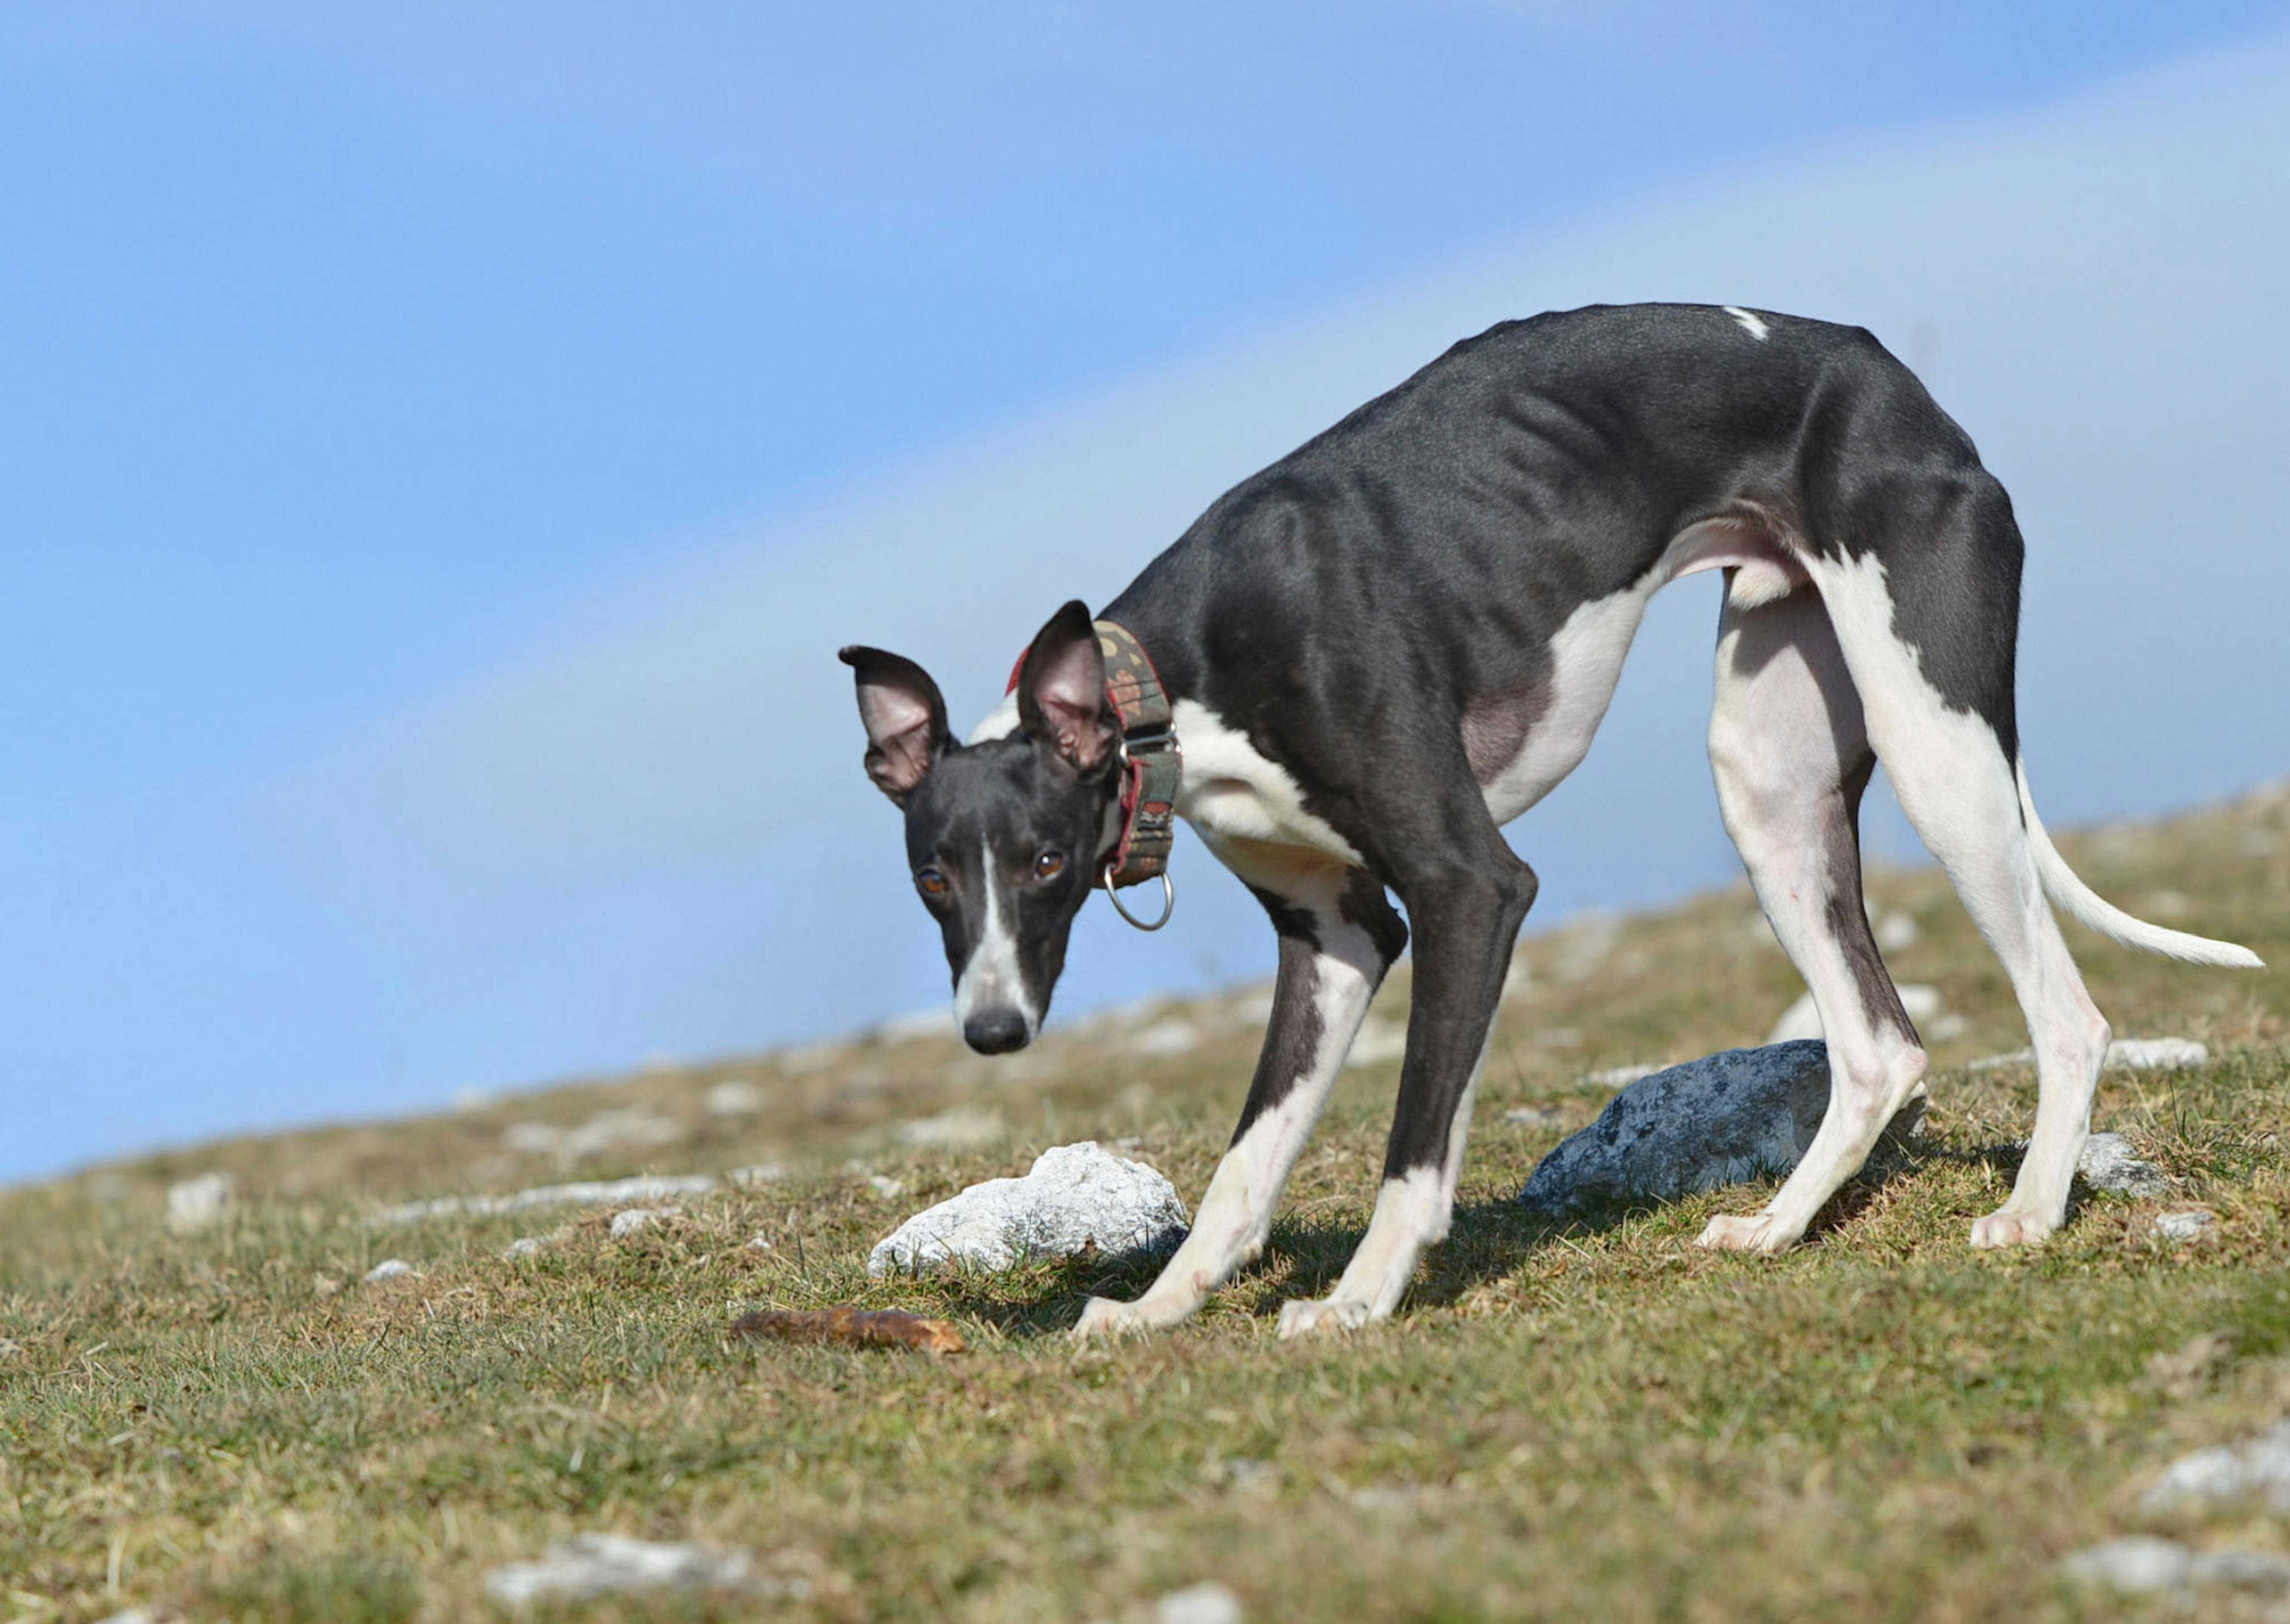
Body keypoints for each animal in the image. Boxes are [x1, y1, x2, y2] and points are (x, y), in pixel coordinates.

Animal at [838, 300, 2253, 1328]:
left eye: (1045, 860)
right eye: (935, 882)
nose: (993, 1030)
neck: (1168, 681)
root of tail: (1884, 368)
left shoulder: (1471, 887)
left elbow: (1416, 1144)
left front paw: (1355, 1303)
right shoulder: (1336, 939)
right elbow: (1245, 1165)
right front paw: (1153, 1311)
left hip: (1938, 744)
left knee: (2067, 1013)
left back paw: (2030, 1210)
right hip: (1770, 779)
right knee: (1879, 1046)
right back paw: (1778, 1226)